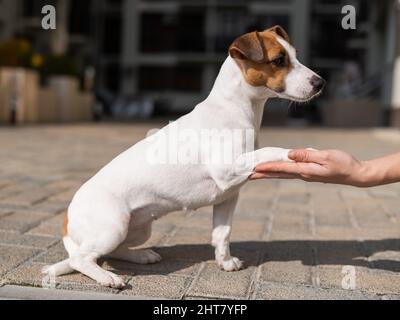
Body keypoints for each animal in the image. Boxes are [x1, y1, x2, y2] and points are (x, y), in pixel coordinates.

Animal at [43, 26, 324, 288]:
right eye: (279, 60)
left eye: (295, 55)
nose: (320, 83)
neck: (237, 108)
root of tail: (67, 219)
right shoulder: (227, 170)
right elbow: (269, 151)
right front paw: (301, 153)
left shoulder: (228, 196)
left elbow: (222, 233)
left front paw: (224, 262)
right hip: (114, 226)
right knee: (82, 259)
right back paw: (107, 277)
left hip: (140, 229)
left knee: (112, 252)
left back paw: (141, 256)